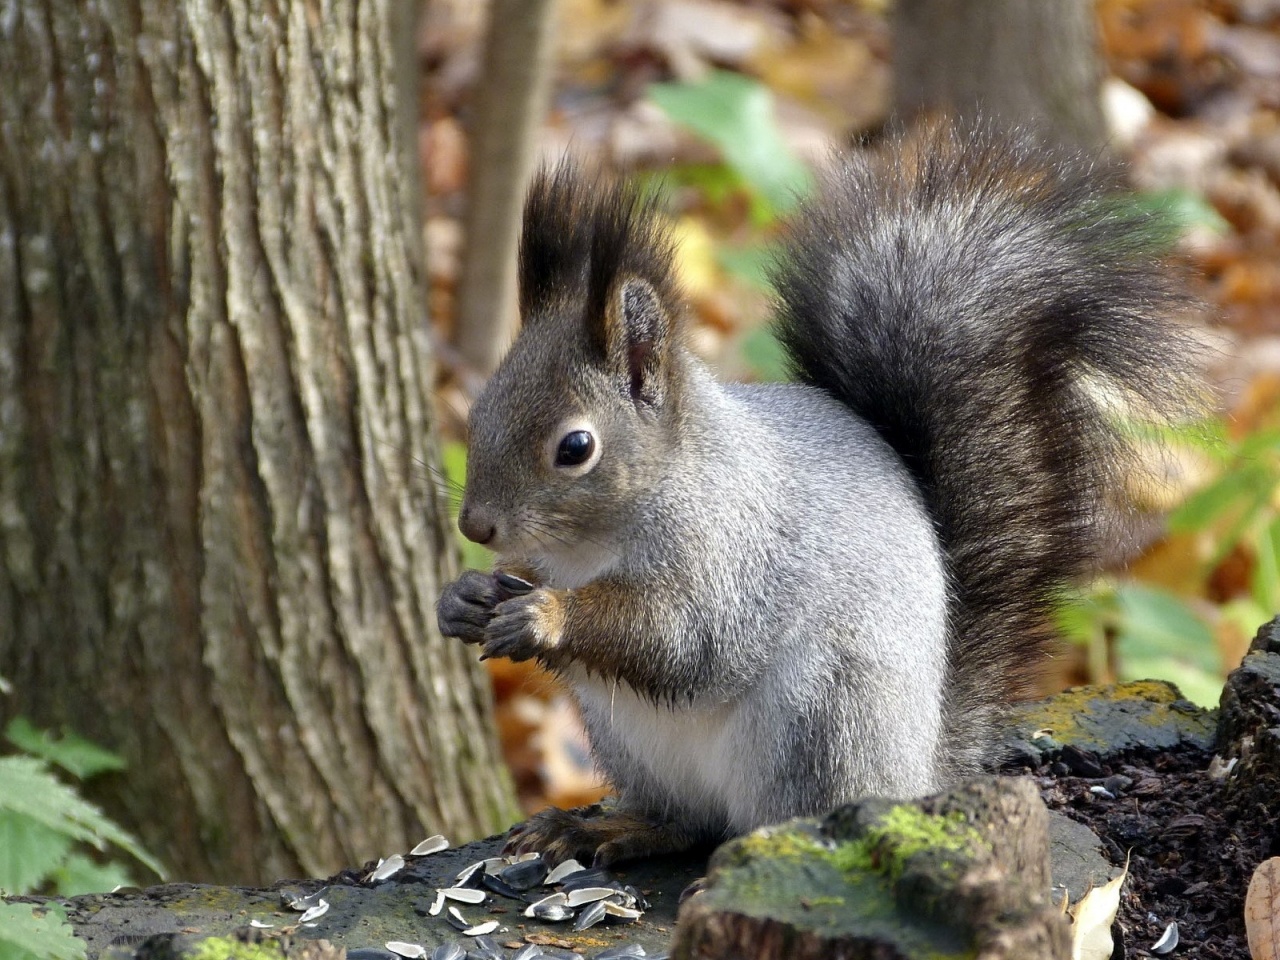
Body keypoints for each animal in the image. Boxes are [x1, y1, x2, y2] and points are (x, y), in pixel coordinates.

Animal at [435, 124, 1203, 870]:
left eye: (575, 448)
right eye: (480, 410)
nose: (476, 527)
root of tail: (917, 770)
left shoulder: (731, 553)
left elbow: (683, 637)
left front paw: (545, 615)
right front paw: (467, 598)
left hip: (819, 720)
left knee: (779, 821)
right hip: (632, 740)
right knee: (686, 821)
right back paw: (609, 829)